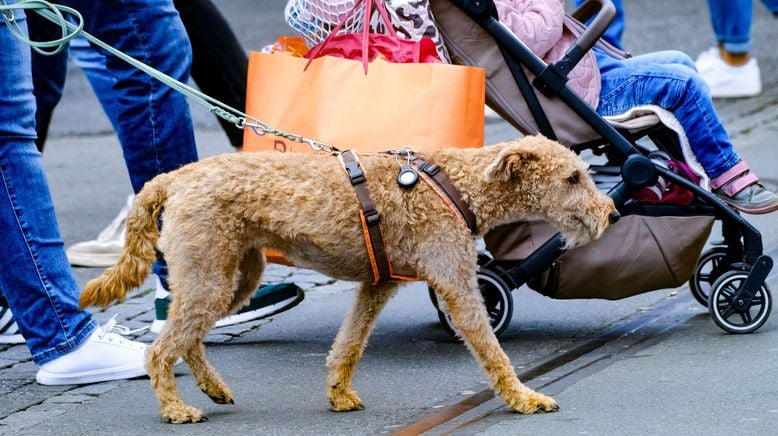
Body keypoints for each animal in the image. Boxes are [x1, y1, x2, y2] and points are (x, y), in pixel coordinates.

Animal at [79, 135, 612, 422]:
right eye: (572, 178)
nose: (609, 213)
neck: (458, 185)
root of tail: (175, 178)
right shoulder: (458, 286)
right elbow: (493, 353)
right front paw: (525, 398)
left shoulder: (378, 284)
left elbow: (349, 343)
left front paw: (338, 393)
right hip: (211, 275)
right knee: (160, 350)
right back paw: (175, 409)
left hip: (234, 279)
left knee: (186, 337)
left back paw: (212, 389)